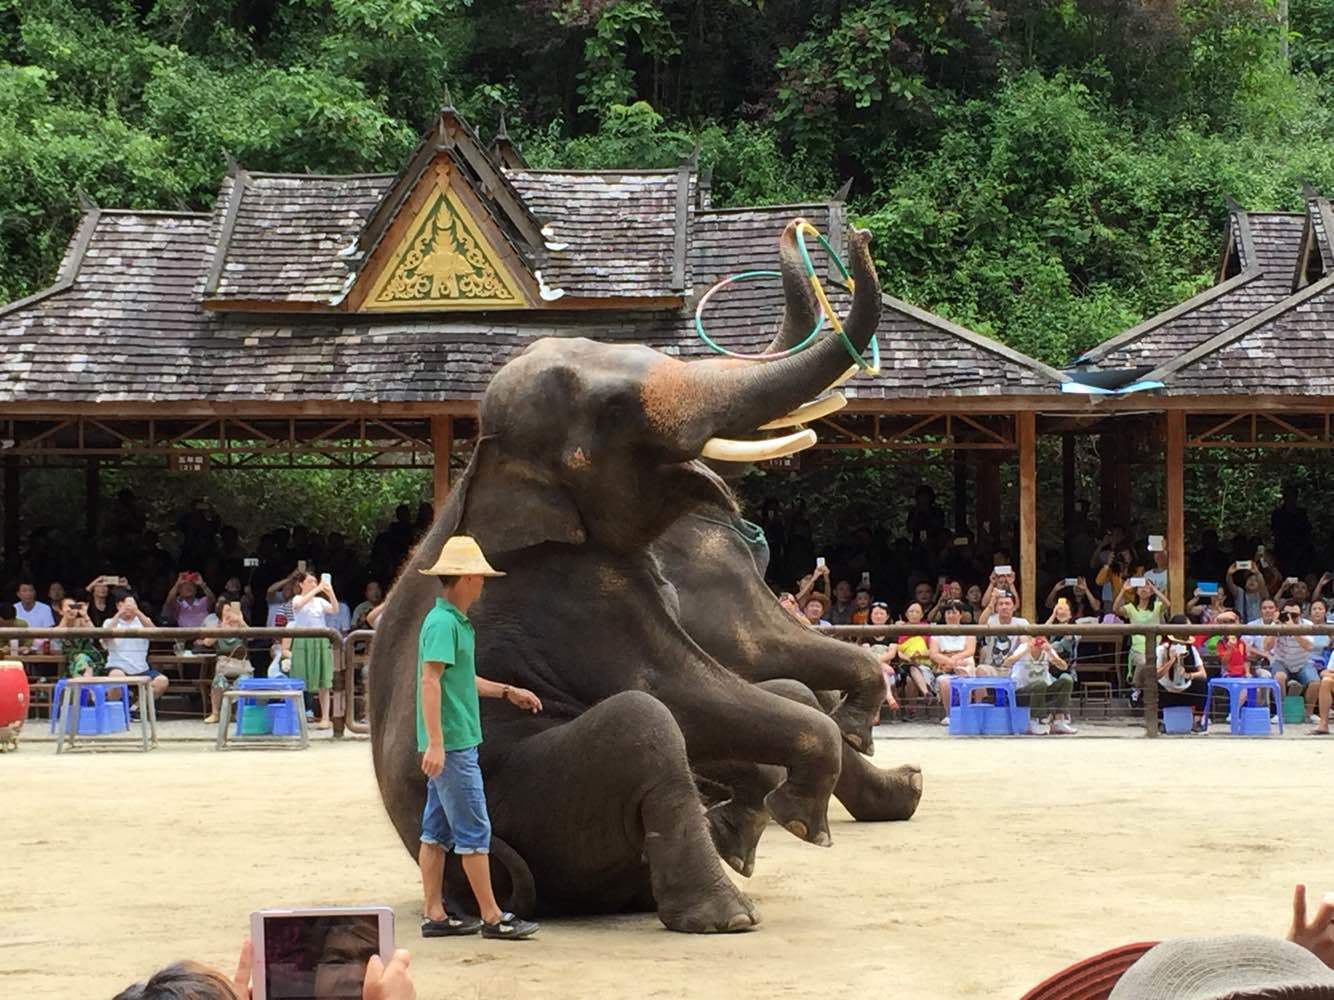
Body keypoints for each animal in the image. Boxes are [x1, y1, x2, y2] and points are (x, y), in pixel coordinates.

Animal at [368, 222, 885, 938]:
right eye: (615, 409)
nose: (854, 233)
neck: (487, 464)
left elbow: (742, 698)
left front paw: (773, 806)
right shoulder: (576, 601)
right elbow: (672, 687)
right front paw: (806, 822)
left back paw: (727, 856)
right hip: (532, 810)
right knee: (645, 722)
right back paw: (727, 916)